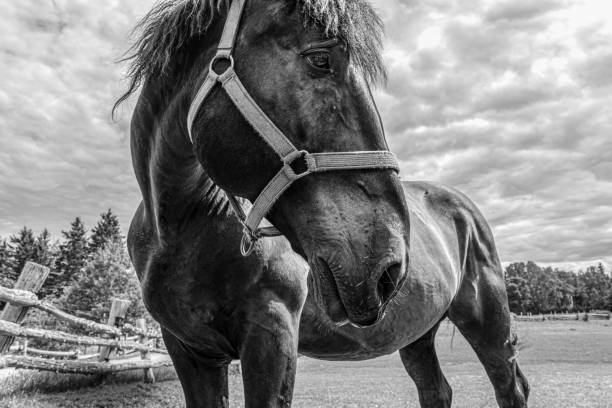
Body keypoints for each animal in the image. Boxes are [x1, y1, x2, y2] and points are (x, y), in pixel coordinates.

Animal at [120, 0, 532, 408]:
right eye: (320, 59)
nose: (389, 264)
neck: (179, 228)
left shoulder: (271, 335)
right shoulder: (189, 350)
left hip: (487, 323)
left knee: (510, 386)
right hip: (418, 334)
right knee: (436, 390)